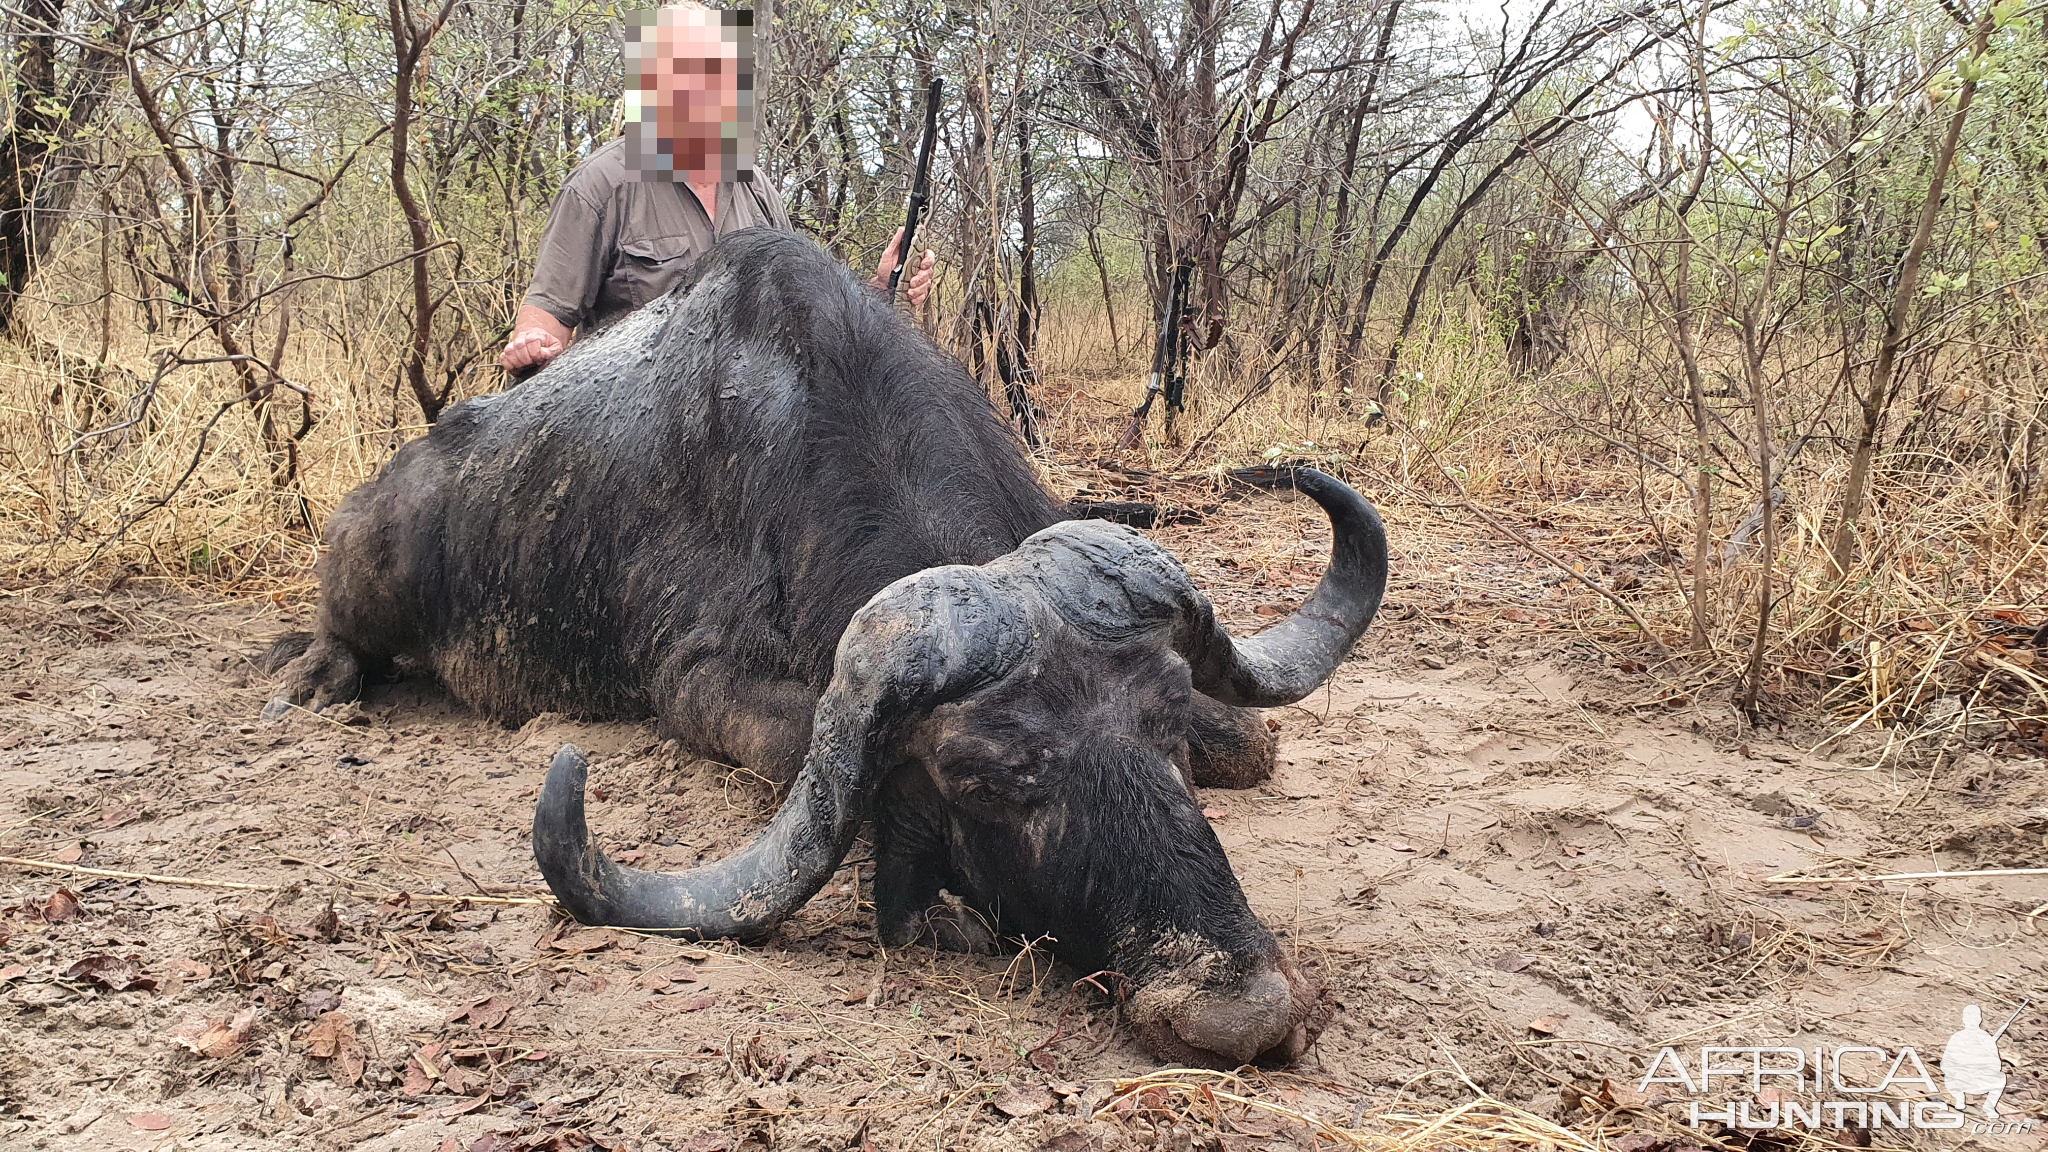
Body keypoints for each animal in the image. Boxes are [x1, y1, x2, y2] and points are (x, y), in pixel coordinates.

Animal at [268, 226, 1392, 1065]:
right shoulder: (696, 684)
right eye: (982, 778)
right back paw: (313, 673)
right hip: (373, 566)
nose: (1237, 1012)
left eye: (1160, 727)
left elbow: (1252, 739)